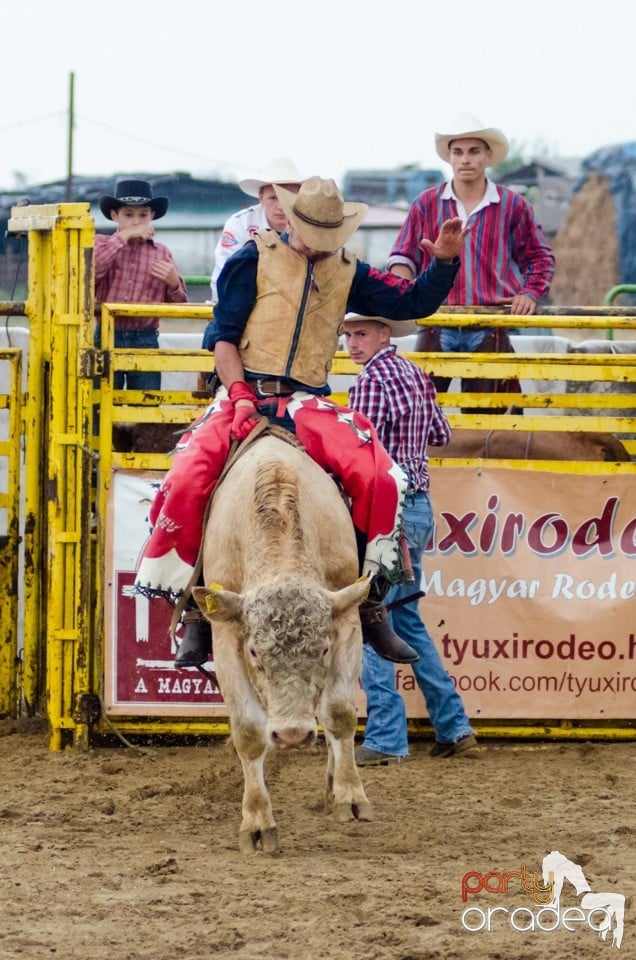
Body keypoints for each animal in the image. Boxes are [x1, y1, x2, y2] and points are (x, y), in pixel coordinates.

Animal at [194, 432, 372, 852]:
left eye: (322, 649)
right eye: (255, 653)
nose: (291, 735)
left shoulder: (346, 618)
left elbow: (339, 713)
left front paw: (350, 796)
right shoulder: (227, 636)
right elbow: (248, 732)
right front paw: (257, 822)